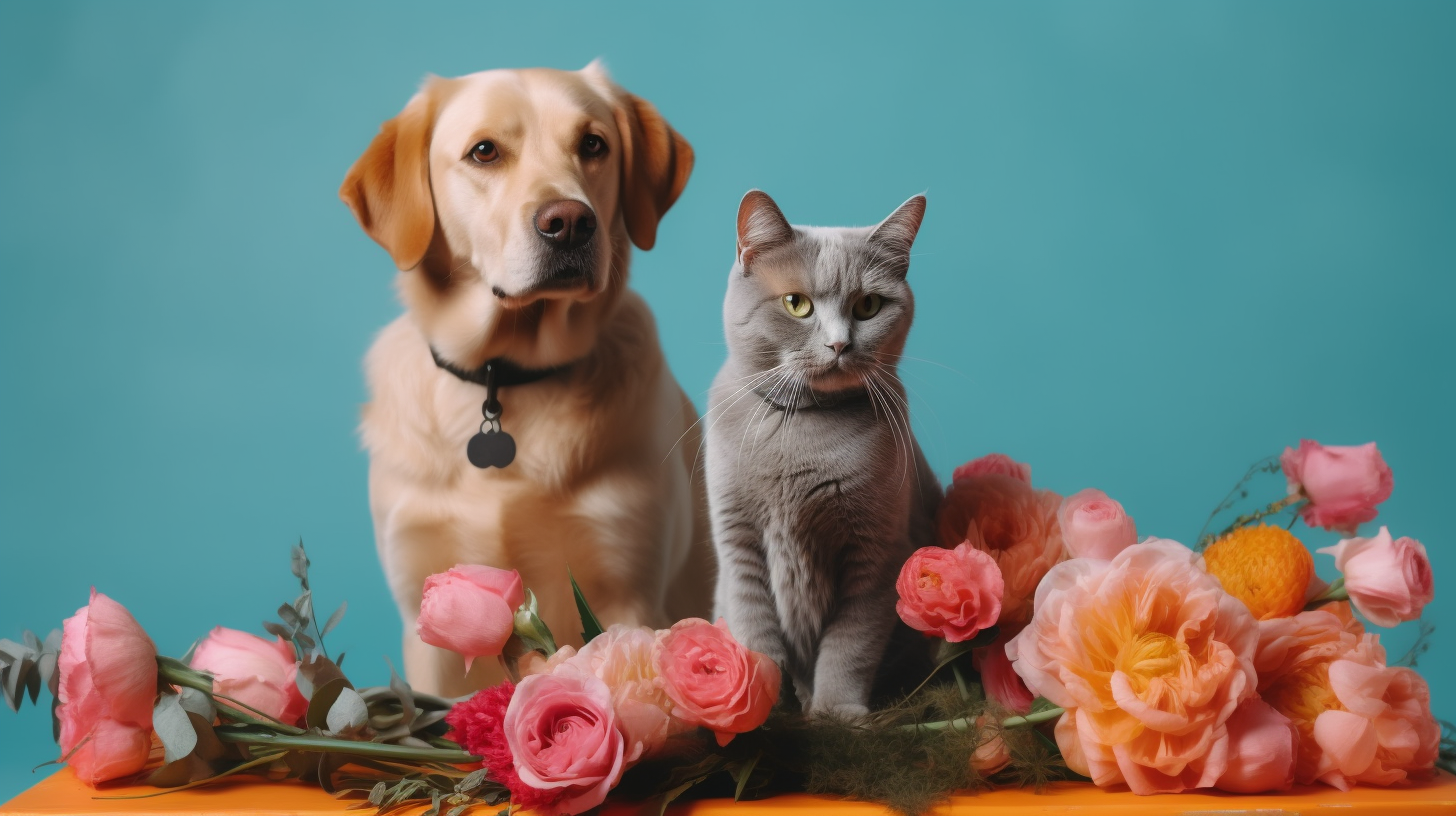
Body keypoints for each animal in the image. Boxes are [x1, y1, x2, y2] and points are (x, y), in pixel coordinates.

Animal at [334, 62, 710, 693]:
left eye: (593, 145)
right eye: (484, 151)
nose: (570, 223)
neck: (505, 377)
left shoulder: (629, 591)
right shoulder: (425, 614)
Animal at [707, 189, 943, 714]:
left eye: (868, 306)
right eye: (796, 304)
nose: (839, 344)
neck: (801, 427)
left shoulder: (877, 553)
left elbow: (849, 642)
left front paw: (835, 711)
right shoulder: (739, 544)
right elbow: (756, 632)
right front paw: (767, 709)